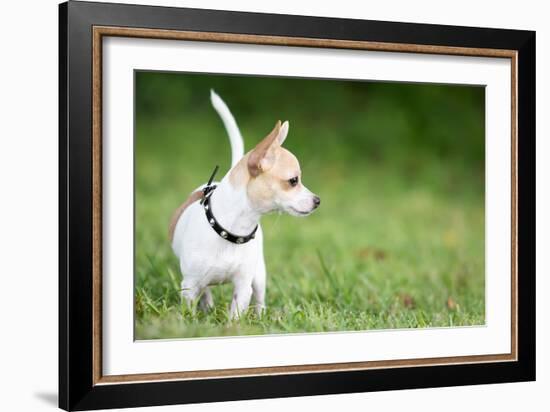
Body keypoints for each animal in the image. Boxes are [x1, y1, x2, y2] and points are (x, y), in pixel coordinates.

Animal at [170, 91, 322, 318]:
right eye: (294, 181)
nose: (317, 201)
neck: (230, 230)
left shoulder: (243, 286)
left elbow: (236, 314)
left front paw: (234, 324)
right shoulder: (189, 286)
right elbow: (190, 308)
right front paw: (190, 321)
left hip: (259, 275)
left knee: (259, 298)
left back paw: (260, 317)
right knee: (206, 292)